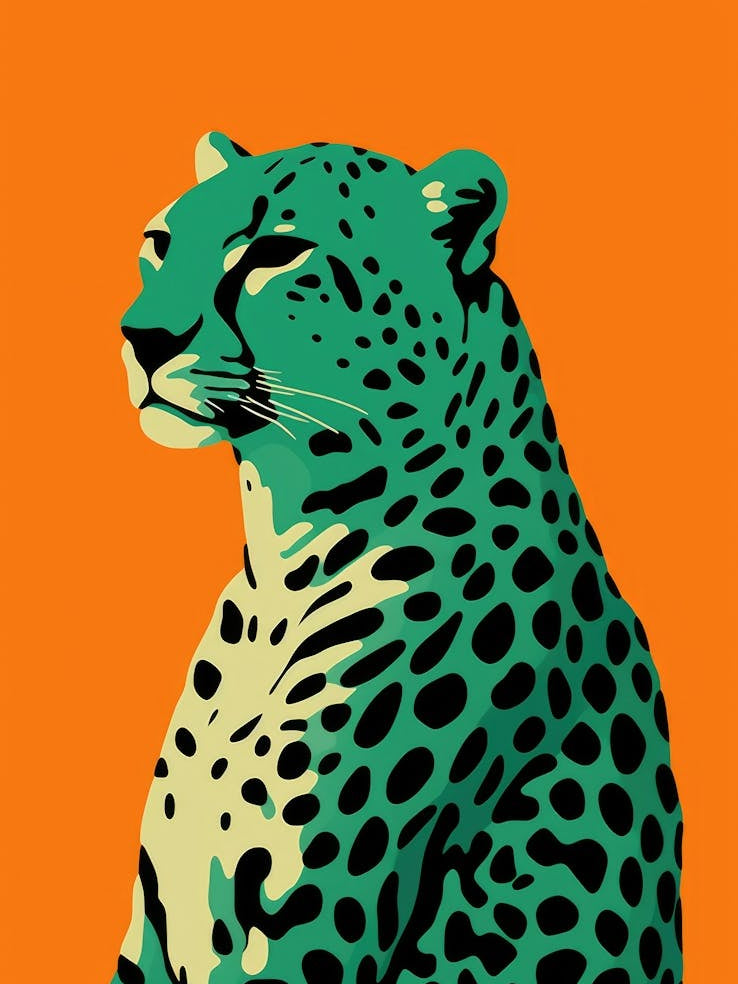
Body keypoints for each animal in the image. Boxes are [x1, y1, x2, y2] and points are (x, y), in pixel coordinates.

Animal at [114, 132, 683, 984]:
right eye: (160, 243)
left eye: (277, 253)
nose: (141, 337)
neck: (279, 562)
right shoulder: (155, 923)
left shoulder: (305, 929)